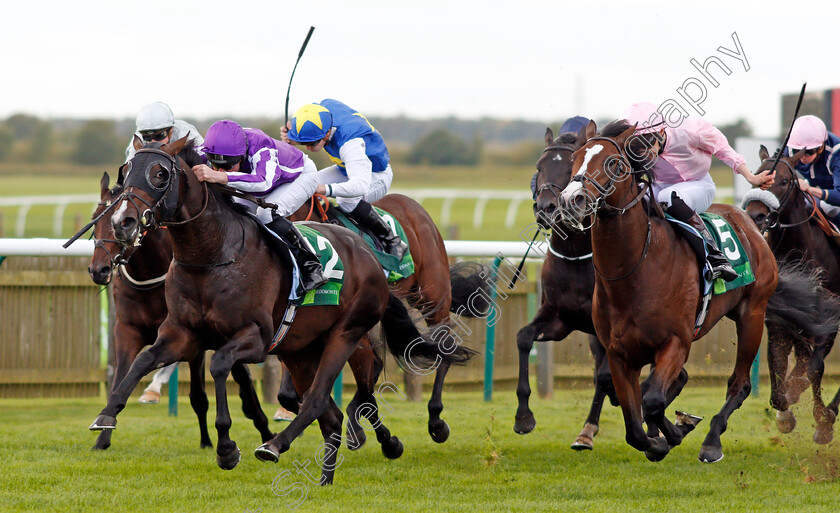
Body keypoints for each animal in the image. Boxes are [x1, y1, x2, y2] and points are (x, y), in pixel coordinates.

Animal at [85, 171, 270, 448]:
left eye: (124, 223)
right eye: (95, 219)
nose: (99, 270)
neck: (149, 278)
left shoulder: (194, 336)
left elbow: (199, 396)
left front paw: (207, 441)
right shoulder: (126, 330)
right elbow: (120, 379)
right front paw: (103, 437)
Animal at [512, 127, 616, 448]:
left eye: (570, 167)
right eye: (539, 166)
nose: (547, 208)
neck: (575, 257)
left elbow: (605, 375)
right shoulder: (560, 319)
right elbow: (523, 337)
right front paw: (523, 416)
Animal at [740, 146, 840, 442]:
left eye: (784, 181)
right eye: (756, 177)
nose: (756, 216)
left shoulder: (829, 322)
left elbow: (815, 367)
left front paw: (823, 421)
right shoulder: (777, 322)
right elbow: (777, 367)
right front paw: (786, 413)